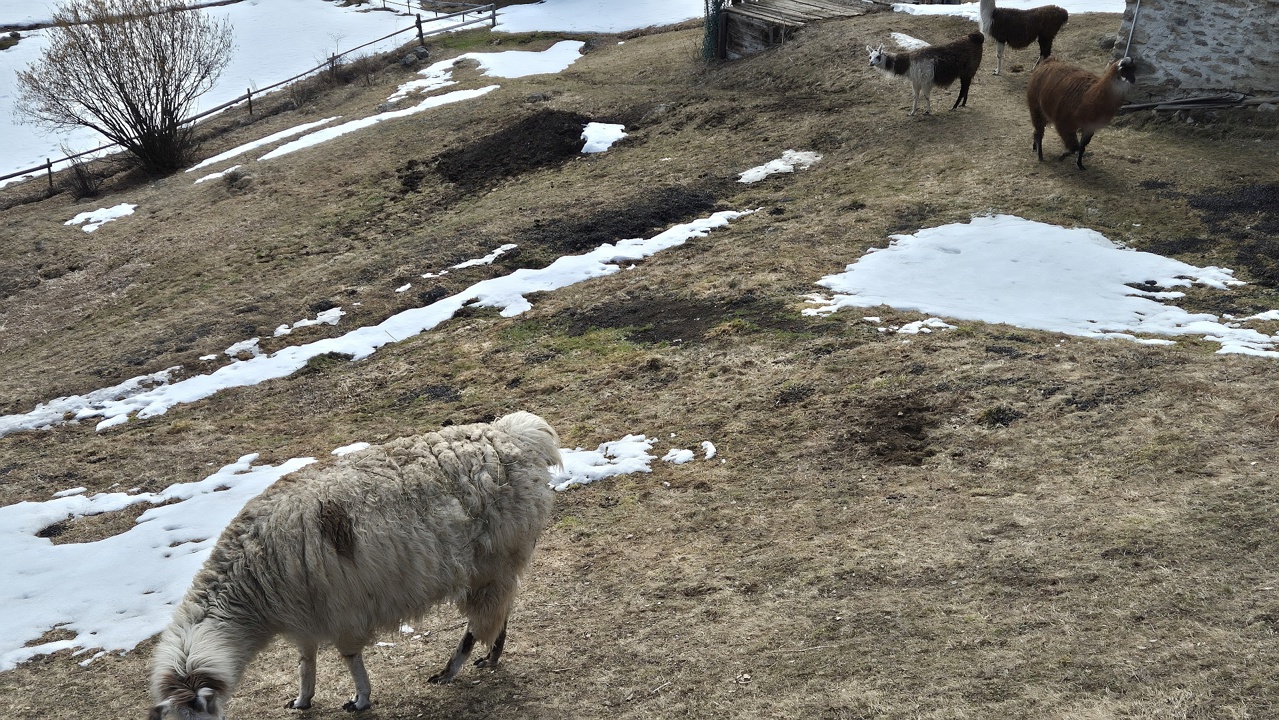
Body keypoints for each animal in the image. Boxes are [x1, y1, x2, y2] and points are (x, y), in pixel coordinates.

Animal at [147, 411, 562, 719]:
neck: (252, 580)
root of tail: (516, 435)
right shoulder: (304, 616)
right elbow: (306, 662)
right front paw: (302, 700)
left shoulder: (339, 609)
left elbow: (348, 657)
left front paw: (360, 699)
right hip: (498, 565)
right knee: (501, 609)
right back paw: (490, 656)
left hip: (492, 561)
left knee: (480, 621)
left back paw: (453, 669)